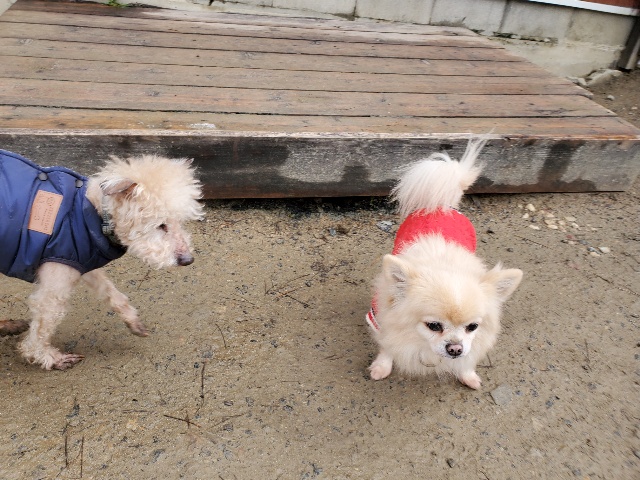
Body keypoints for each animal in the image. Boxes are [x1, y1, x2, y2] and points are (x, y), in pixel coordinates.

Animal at [0, 149, 203, 370]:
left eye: (180, 222)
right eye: (161, 225)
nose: (188, 259)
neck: (93, 215)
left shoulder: (80, 261)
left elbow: (110, 290)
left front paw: (132, 320)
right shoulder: (55, 284)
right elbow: (42, 328)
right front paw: (49, 357)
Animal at [366, 137, 522, 389]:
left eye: (472, 327)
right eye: (433, 326)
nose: (455, 349)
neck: (443, 264)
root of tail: (440, 204)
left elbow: (470, 357)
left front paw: (467, 374)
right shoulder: (381, 318)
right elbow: (387, 344)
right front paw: (382, 366)